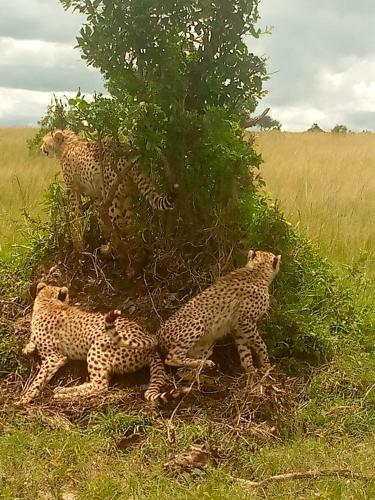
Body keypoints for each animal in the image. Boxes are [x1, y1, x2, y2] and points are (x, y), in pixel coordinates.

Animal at [19, 284, 173, 404]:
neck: (47, 303)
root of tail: (152, 349)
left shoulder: (54, 358)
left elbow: (38, 380)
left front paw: (24, 399)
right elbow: (32, 341)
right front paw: (28, 347)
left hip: (98, 346)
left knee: (100, 387)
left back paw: (64, 393)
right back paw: (63, 390)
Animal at [40, 129, 178, 238]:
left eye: (45, 142)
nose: (41, 148)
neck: (66, 146)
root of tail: (130, 154)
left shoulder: (73, 189)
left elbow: (76, 211)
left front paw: (77, 229)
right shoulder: (95, 192)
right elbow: (98, 213)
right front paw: (104, 233)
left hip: (112, 194)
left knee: (118, 221)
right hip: (125, 194)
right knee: (129, 222)